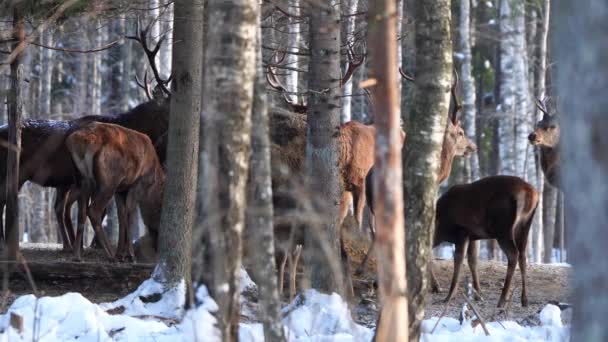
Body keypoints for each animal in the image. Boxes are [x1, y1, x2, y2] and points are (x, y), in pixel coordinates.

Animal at [66, 121, 165, 260]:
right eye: (160, 210)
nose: (156, 247)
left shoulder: (121, 189)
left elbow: (121, 215)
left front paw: (121, 254)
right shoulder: (137, 183)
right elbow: (129, 214)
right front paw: (130, 256)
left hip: (81, 179)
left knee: (82, 212)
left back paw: (77, 255)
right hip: (109, 181)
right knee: (93, 210)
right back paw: (110, 255)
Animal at [432, 176, 536, 308]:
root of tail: (530, 193)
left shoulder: (462, 231)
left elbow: (459, 260)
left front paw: (449, 296)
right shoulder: (473, 236)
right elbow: (472, 261)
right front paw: (479, 295)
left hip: (503, 227)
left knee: (513, 254)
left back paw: (502, 299)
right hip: (524, 225)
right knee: (523, 256)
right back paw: (524, 300)